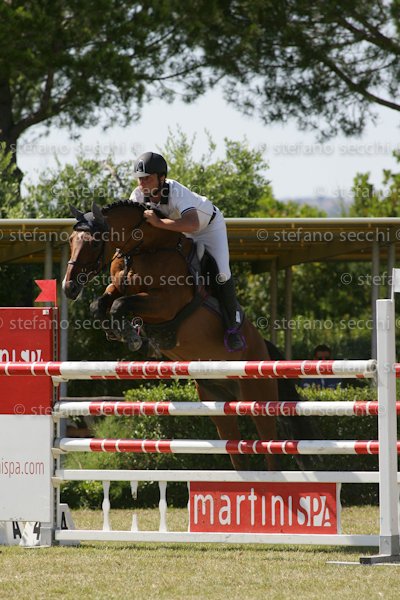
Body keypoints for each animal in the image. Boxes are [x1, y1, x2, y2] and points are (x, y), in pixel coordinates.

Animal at [63, 200, 317, 470]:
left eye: (93, 243)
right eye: (71, 240)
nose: (69, 288)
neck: (145, 250)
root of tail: (264, 349)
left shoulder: (165, 304)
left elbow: (120, 304)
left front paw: (132, 337)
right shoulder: (118, 287)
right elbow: (101, 304)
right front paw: (121, 332)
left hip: (257, 399)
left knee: (270, 449)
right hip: (218, 404)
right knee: (237, 451)